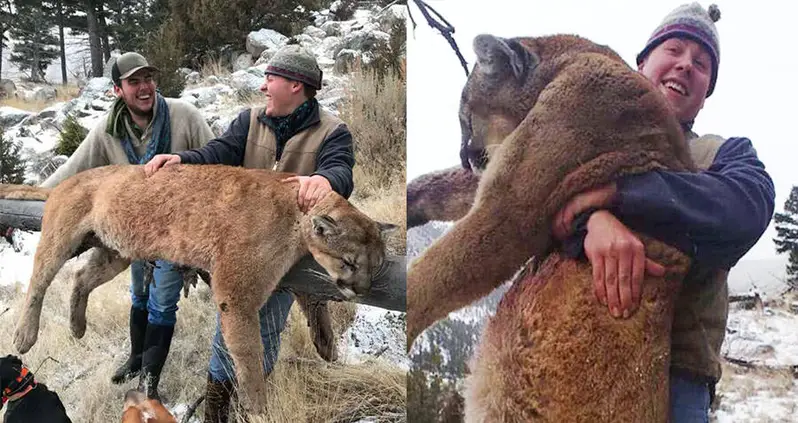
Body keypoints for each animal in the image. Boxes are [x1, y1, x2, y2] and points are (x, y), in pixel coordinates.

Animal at [0, 163, 396, 414]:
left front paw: (326, 343)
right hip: (61, 236)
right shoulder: (235, 292)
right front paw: (257, 403)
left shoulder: (296, 273)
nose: (361, 290)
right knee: (38, 281)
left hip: (117, 251)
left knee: (82, 277)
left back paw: (77, 326)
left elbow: (314, 300)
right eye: (349, 263)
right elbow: (248, 351)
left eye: (375, 266)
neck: (296, 213)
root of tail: (67, 180)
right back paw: (24, 335)